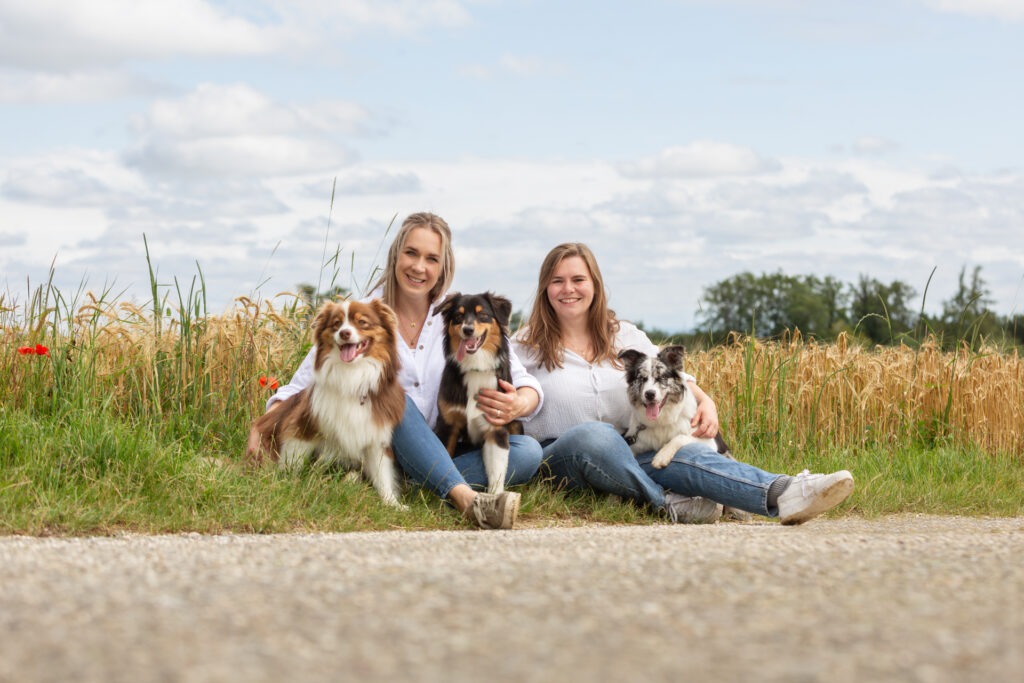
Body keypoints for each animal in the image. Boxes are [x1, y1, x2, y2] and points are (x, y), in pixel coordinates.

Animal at [249, 299, 405, 507]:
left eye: (362, 322)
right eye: (336, 324)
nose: (344, 333)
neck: (352, 375)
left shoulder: (375, 436)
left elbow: (383, 475)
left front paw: (392, 503)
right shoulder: (303, 427)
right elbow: (294, 461)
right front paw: (290, 484)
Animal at [436, 290, 524, 493]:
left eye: (482, 314)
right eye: (458, 316)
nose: (467, 329)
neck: (476, 366)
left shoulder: (496, 428)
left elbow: (497, 471)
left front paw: (495, 495)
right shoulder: (447, 424)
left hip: (516, 424)